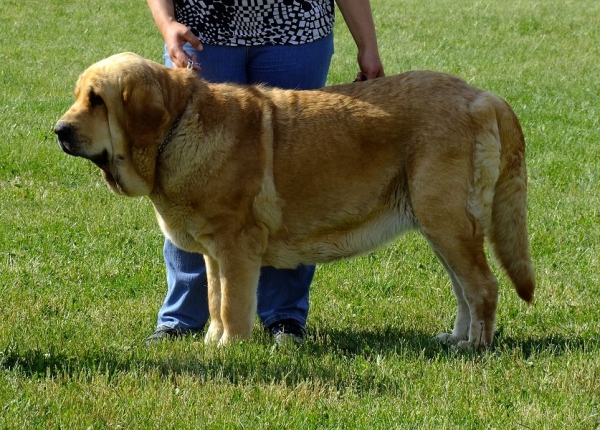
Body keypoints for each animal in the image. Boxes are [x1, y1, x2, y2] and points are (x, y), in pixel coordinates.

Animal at [55, 53, 536, 350]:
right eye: (79, 96)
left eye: (97, 101)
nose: (58, 130)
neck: (176, 129)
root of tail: (483, 97)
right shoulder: (214, 253)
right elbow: (214, 299)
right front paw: (212, 340)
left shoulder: (236, 247)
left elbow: (232, 304)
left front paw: (229, 347)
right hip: (440, 227)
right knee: (464, 290)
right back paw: (455, 339)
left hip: (448, 221)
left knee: (483, 286)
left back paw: (475, 346)